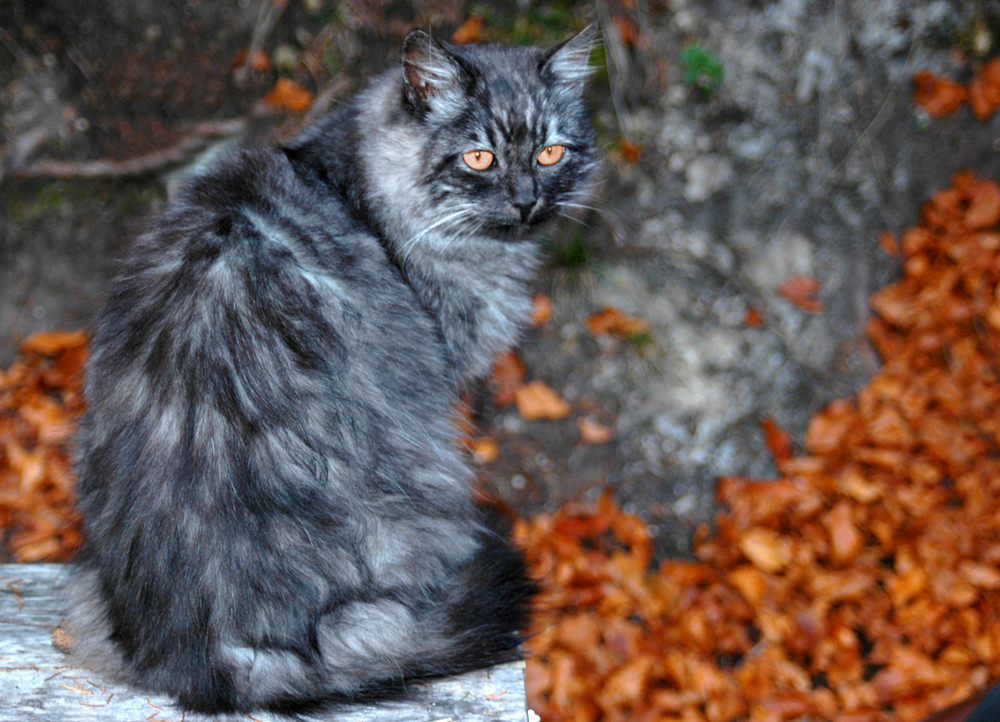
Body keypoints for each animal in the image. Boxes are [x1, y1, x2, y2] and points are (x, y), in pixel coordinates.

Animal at [70, 25, 596, 712]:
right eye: (479, 159)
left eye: (551, 153)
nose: (527, 201)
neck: (352, 184)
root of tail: (215, 655)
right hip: (434, 474)